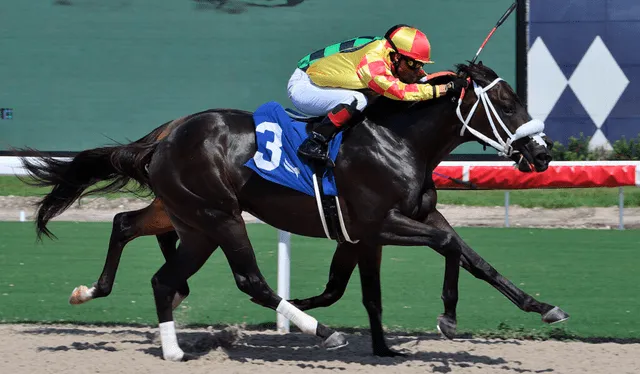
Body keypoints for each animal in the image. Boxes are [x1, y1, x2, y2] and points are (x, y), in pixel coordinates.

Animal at [20, 62, 568, 360]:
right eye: (505, 102)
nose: (542, 155)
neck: (399, 142)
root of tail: (167, 135)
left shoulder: (393, 225)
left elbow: (471, 261)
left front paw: (543, 306)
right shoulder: (380, 223)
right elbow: (449, 246)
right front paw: (448, 318)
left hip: (189, 217)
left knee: (137, 242)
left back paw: (143, 325)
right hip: (220, 217)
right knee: (249, 280)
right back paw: (319, 332)